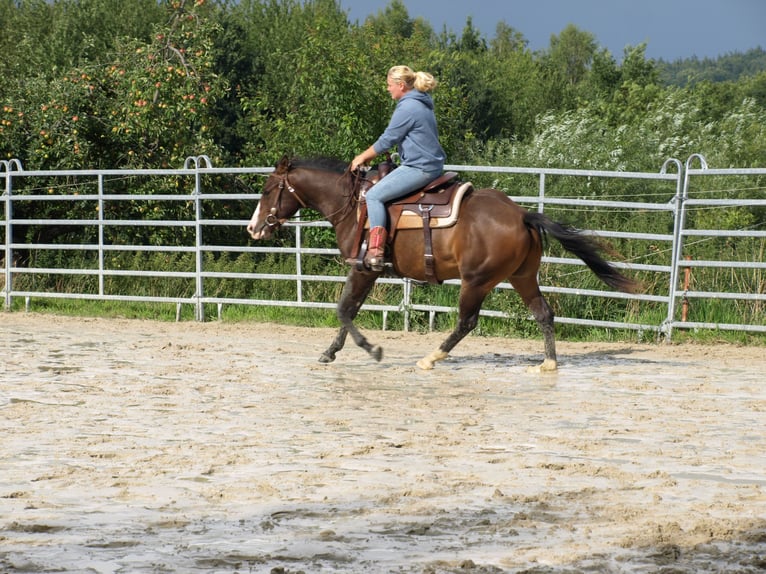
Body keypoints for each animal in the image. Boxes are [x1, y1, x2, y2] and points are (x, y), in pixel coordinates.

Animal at [247, 155, 639, 371]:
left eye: (267, 190)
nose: (253, 227)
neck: (356, 202)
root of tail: (521, 214)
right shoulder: (364, 272)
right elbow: (350, 309)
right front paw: (330, 352)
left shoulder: (362, 267)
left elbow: (344, 309)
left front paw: (372, 349)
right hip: (522, 276)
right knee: (543, 313)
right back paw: (548, 363)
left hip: (476, 281)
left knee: (466, 321)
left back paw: (431, 358)